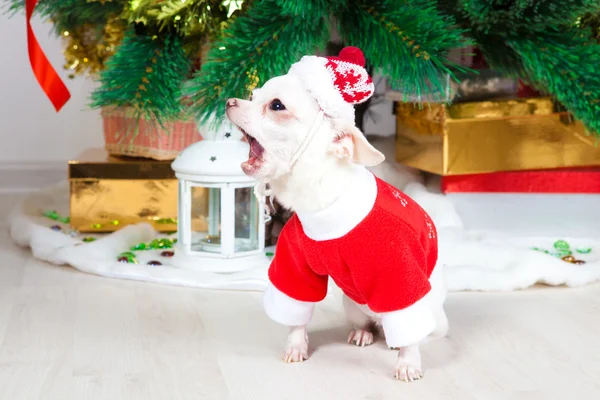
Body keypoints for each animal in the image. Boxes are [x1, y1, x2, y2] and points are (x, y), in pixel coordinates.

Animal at [225, 47, 446, 382]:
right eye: (253, 94)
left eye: (276, 105)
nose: (229, 101)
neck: (323, 204)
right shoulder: (294, 266)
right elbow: (296, 312)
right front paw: (296, 345)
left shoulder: (401, 278)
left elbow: (409, 326)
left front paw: (408, 363)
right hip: (352, 303)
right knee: (367, 324)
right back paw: (364, 333)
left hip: (426, 309)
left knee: (410, 329)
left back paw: (397, 343)